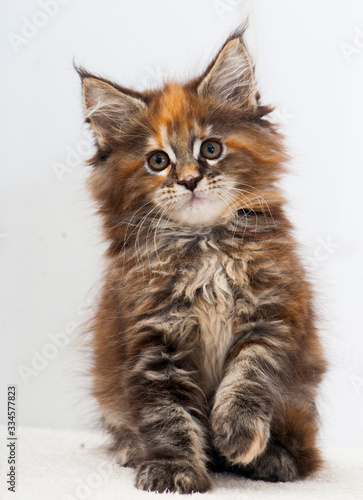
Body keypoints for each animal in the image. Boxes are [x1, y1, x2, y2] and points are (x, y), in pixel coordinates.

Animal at [77, 29, 328, 494]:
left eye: (210, 149)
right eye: (158, 160)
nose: (191, 180)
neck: (204, 246)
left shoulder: (273, 317)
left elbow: (250, 376)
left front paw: (237, 434)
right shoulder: (153, 338)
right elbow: (166, 412)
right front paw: (173, 468)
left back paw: (274, 459)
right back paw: (130, 448)